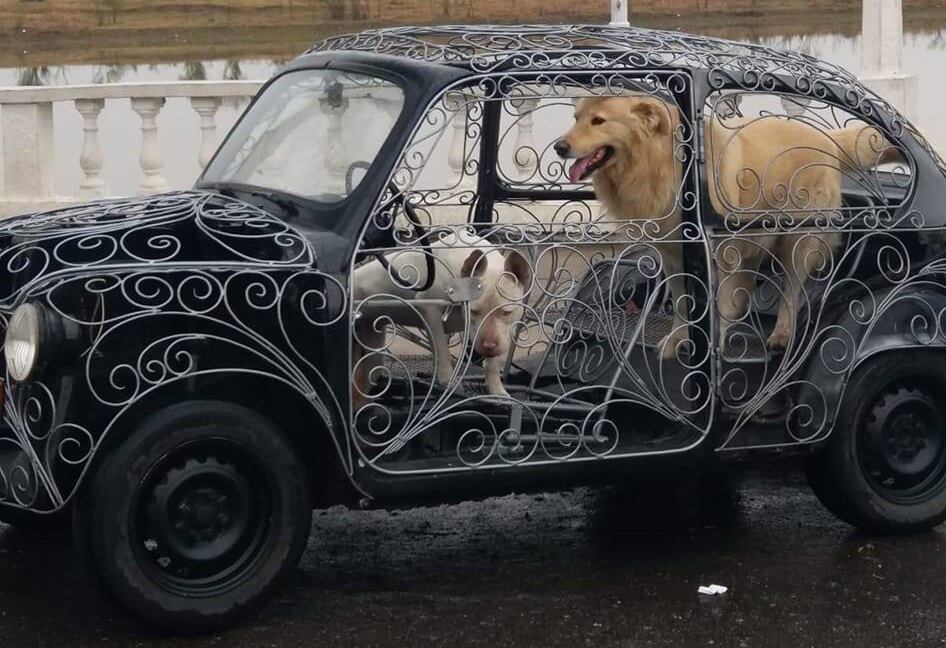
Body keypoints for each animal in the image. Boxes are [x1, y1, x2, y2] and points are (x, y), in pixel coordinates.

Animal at [352, 234, 532, 400]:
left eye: (506, 312)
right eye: (473, 311)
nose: (488, 345)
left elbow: (492, 363)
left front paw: (497, 389)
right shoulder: (431, 310)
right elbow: (442, 350)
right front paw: (449, 382)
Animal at [552, 95, 892, 356]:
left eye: (598, 121)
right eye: (576, 118)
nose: (559, 147)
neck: (655, 161)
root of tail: (828, 139)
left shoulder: (722, 250)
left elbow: (724, 300)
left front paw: (714, 344)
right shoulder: (673, 254)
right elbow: (683, 303)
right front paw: (679, 339)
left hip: (798, 240)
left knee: (791, 291)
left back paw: (781, 333)